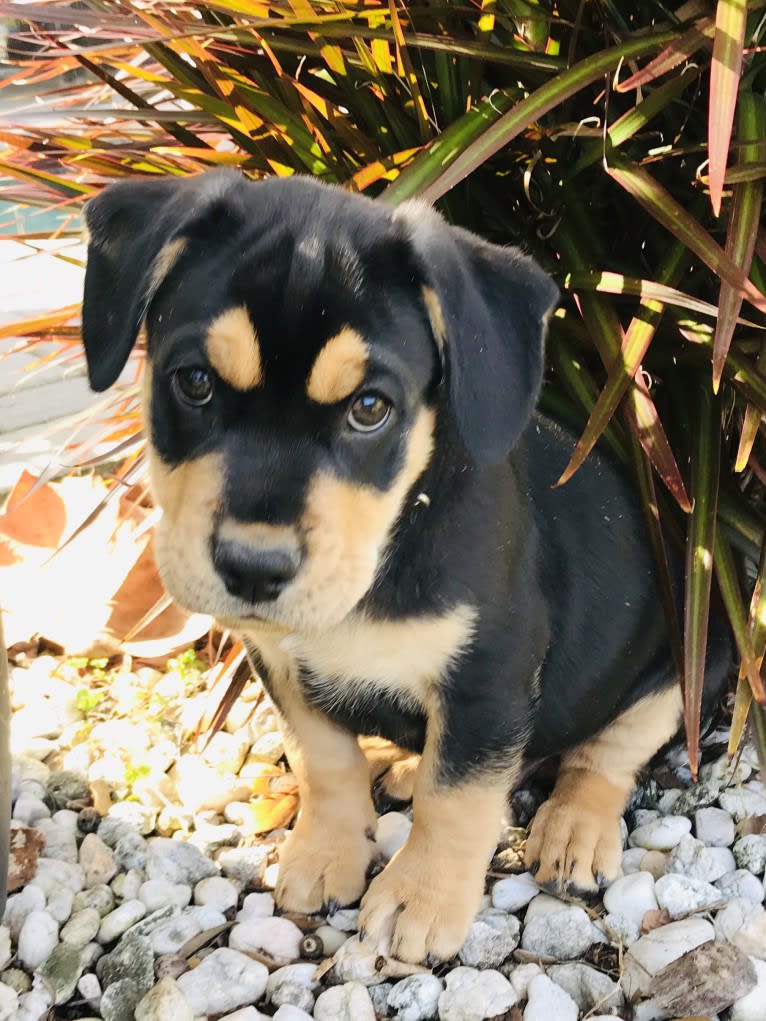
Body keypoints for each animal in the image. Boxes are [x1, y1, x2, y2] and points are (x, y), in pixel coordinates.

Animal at [81, 173, 735, 963]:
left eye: (370, 407)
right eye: (194, 382)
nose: (253, 569)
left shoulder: (487, 677)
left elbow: (455, 799)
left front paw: (419, 901)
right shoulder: (282, 663)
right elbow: (324, 761)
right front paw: (326, 854)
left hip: (685, 665)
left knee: (603, 757)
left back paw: (574, 828)